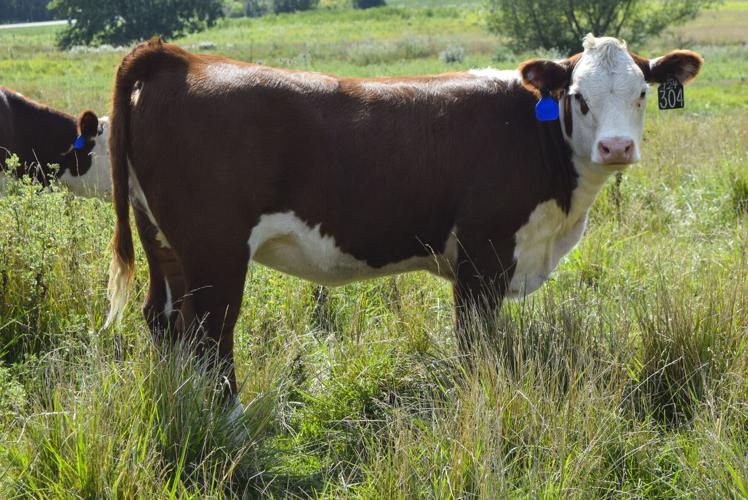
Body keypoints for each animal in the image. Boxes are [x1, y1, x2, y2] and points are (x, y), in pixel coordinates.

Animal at [105, 35, 702, 395]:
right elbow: (475, 342)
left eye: (642, 91)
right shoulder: (484, 256)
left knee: (163, 321)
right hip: (215, 251)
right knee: (208, 333)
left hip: (163, 244)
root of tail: (176, 57)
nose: (617, 147)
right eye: (577, 96)